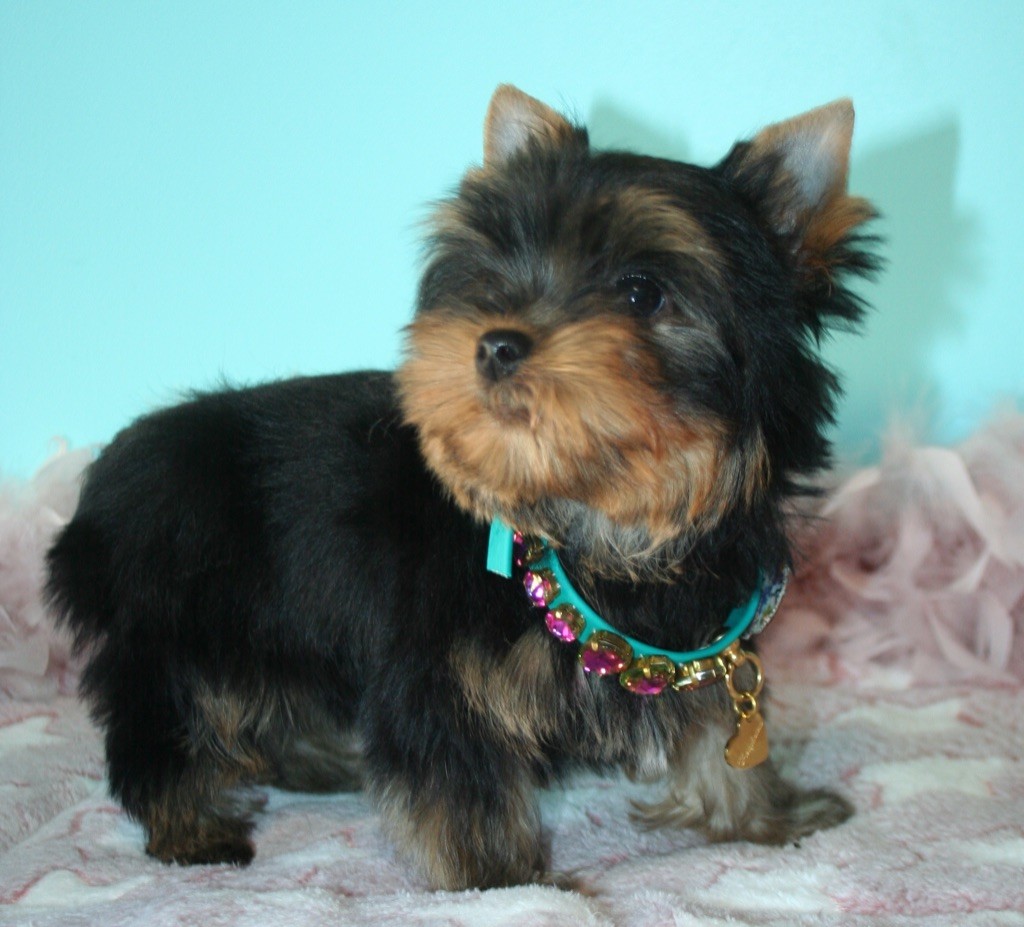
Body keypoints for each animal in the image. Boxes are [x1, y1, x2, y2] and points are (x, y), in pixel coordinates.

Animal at [46, 84, 878, 890]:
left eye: (643, 291)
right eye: (492, 278)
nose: (496, 342)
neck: (594, 523)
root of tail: (101, 490)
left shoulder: (701, 628)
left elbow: (715, 728)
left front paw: (763, 815)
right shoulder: (439, 669)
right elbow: (459, 786)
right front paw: (504, 884)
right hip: (186, 616)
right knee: (168, 713)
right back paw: (189, 825)